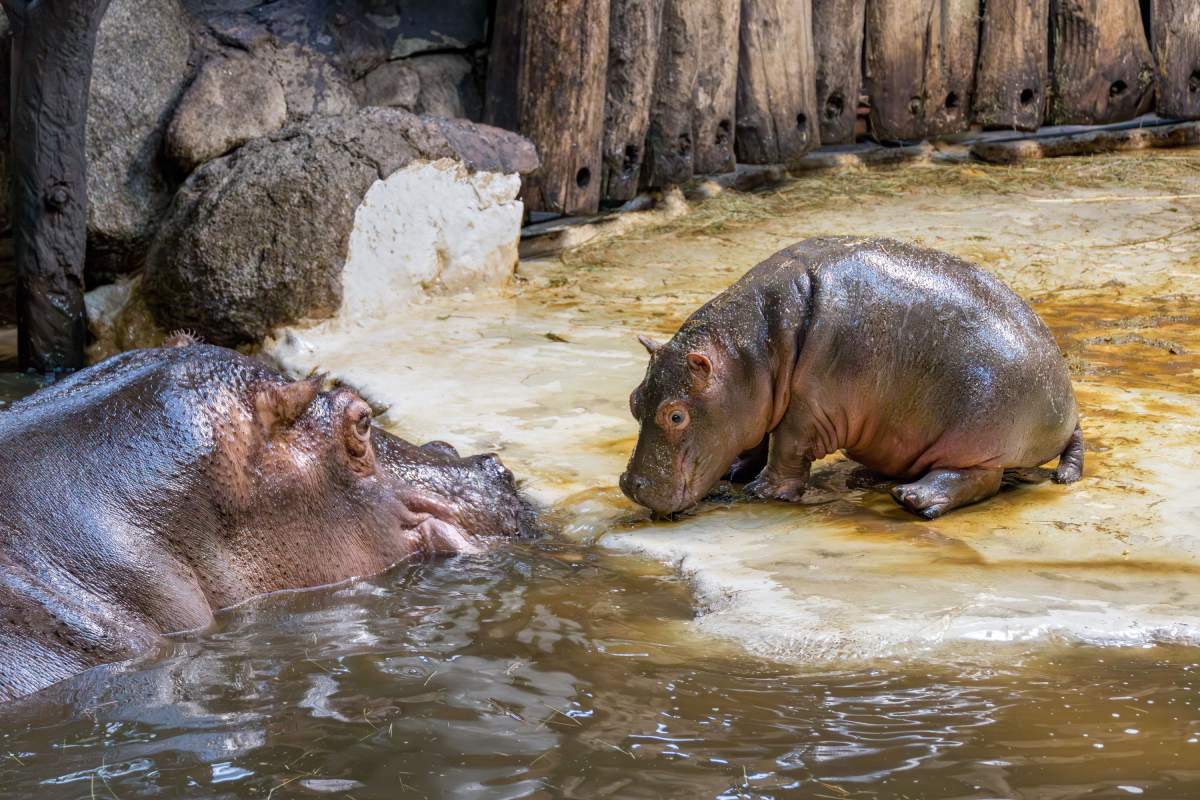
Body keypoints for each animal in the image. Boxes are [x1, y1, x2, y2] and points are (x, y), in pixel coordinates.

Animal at [624, 236, 1084, 520]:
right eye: (634, 400)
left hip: (980, 435)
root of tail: (1069, 401)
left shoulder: (808, 409)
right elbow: (758, 436)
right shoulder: (763, 400)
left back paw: (913, 498)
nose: (629, 485)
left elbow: (785, 445)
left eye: (676, 415)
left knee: (979, 479)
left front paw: (763, 492)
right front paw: (737, 470)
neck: (748, 353)